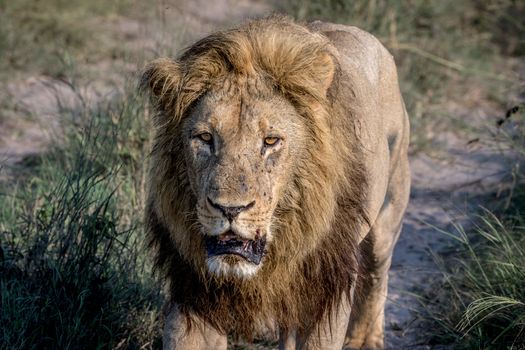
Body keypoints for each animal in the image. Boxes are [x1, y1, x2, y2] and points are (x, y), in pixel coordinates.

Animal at [142, 16, 410, 350]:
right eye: (204, 138)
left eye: (270, 141)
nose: (229, 210)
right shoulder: (195, 292)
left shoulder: (325, 292)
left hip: (389, 212)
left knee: (376, 274)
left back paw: (366, 340)